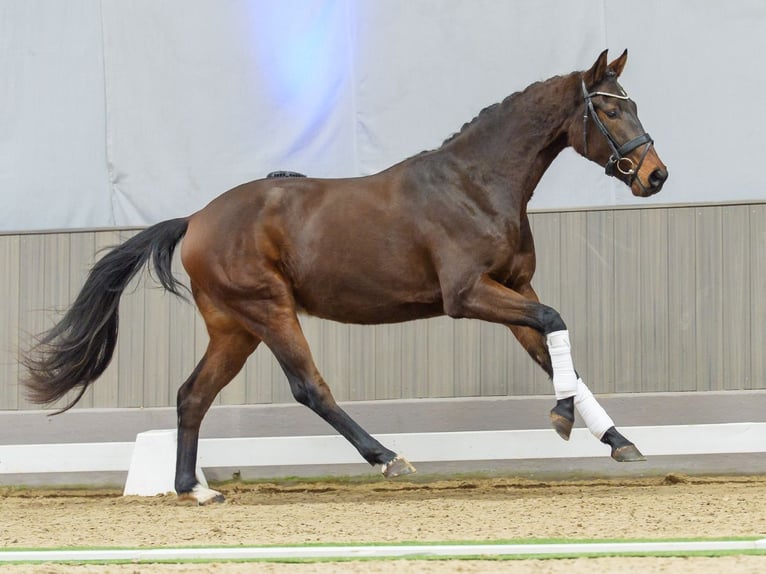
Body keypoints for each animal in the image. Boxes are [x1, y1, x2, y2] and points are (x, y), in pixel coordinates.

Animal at [23, 50, 667, 504]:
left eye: (634, 105)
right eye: (611, 109)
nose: (654, 175)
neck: (476, 183)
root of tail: (197, 219)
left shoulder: (514, 288)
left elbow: (558, 355)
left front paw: (619, 441)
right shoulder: (468, 295)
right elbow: (556, 324)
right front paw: (563, 421)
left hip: (235, 327)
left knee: (192, 395)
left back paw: (195, 490)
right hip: (268, 310)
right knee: (309, 387)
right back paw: (387, 458)